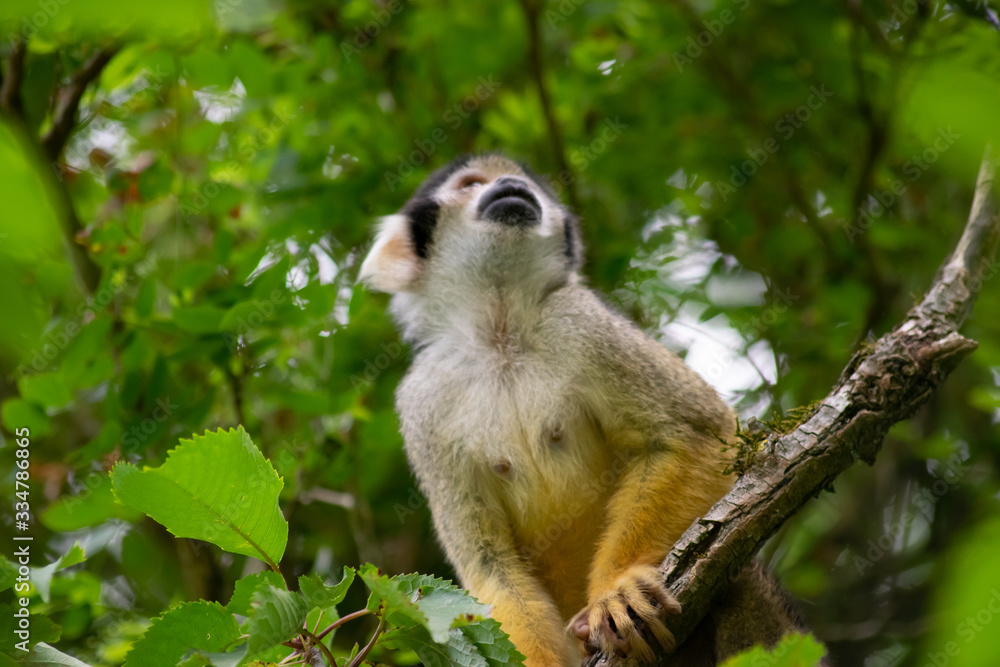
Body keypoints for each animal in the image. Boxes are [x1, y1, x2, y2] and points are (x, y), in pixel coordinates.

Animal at [359, 153, 822, 666]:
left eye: (524, 183)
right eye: (470, 184)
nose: (511, 185)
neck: (499, 331)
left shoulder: (579, 317)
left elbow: (695, 434)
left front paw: (616, 592)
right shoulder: (422, 398)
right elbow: (487, 563)